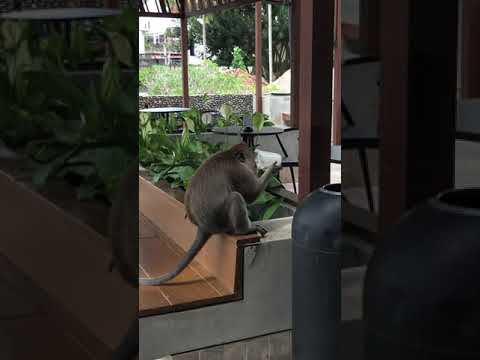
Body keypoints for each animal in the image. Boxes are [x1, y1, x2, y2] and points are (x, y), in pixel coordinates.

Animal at [139, 142, 280, 286]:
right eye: (254, 164)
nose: (256, 168)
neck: (230, 154)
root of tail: (204, 226)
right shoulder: (239, 170)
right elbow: (251, 194)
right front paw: (272, 168)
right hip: (222, 220)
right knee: (235, 197)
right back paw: (244, 230)